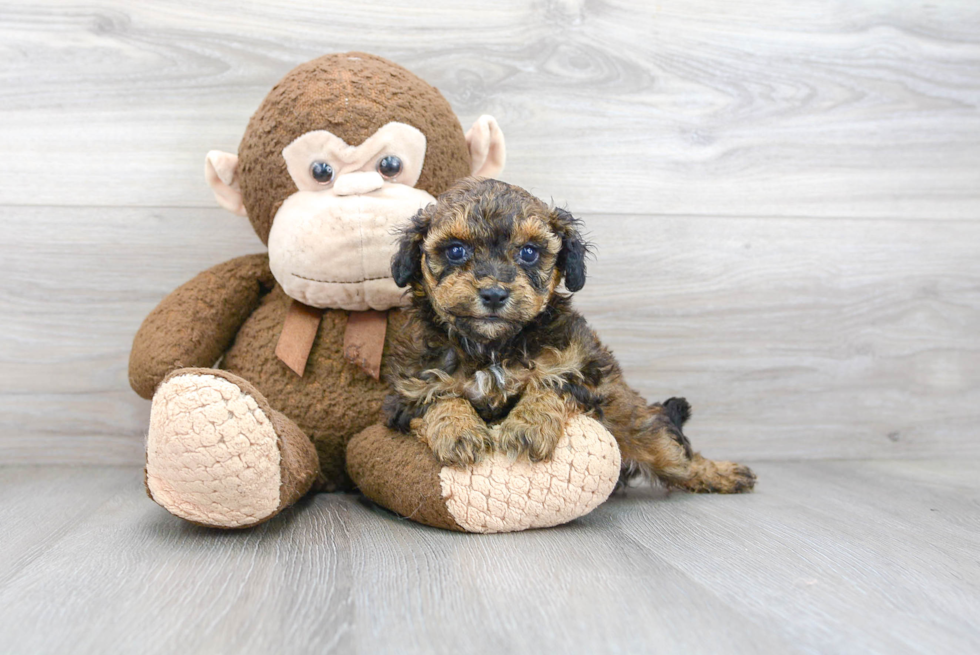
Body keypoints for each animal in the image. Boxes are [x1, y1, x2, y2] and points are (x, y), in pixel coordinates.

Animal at [382, 177, 756, 494]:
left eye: (529, 252)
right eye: (456, 250)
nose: (494, 294)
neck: (492, 348)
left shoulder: (585, 370)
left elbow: (550, 383)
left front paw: (528, 427)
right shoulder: (408, 391)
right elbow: (441, 397)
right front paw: (458, 431)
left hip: (636, 423)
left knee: (672, 452)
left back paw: (722, 473)